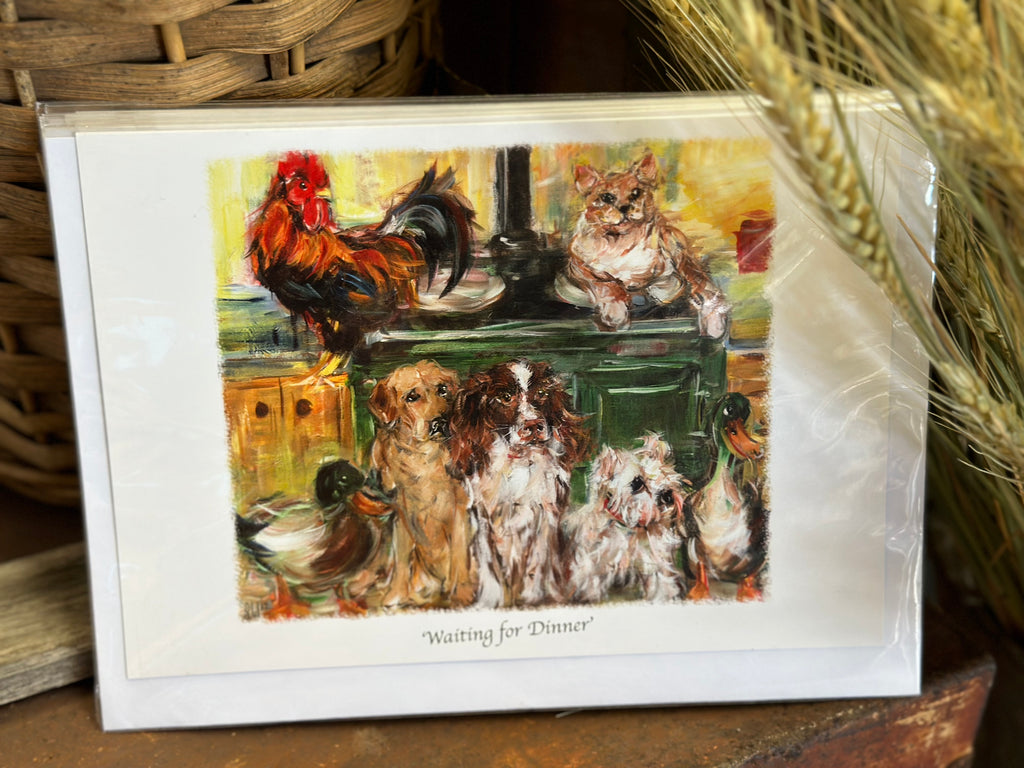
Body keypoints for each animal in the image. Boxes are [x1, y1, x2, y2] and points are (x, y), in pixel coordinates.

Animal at [367, 360, 475, 609]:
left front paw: (462, 592)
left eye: (443, 390)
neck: (424, 458)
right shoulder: (402, 515)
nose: (440, 423)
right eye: (411, 396)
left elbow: (459, 554)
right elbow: (401, 560)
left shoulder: (459, 510)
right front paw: (396, 594)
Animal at [449, 359, 590, 607]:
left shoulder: (546, 514)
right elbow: (489, 567)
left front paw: (534, 598)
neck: (520, 463)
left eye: (542, 393)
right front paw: (490, 601)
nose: (533, 426)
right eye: (505, 397)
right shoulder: (483, 517)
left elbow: (539, 564)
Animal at [563, 434, 687, 603]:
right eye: (637, 482)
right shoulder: (593, 561)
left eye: (663, 473)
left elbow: (660, 582)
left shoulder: (653, 562)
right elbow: (590, 579)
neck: (630, 527)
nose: (668, 494)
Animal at [565, 152, 728, 336]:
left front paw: (715, 321)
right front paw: (615, 313)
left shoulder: (679, 265)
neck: (622, 241)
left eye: (636, 192)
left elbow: (701, 285)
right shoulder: (578, 267)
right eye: (606, 197)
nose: (624, 207)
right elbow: (606, 285)